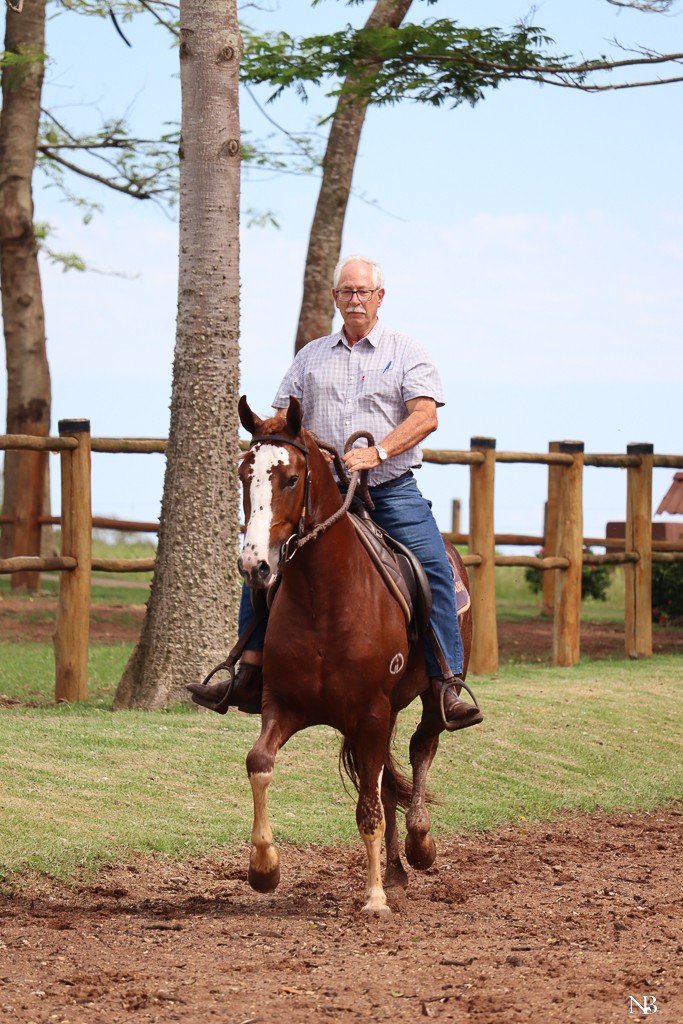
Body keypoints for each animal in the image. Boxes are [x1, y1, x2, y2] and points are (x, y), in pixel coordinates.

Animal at [235, 395, 473, 917]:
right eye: (244, 474)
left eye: (290, 477)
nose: (255, 564)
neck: (325, 598)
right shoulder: (283, 705)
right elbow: (259, 763)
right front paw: (264, 868)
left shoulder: (371, 711)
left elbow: (369, 809)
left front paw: (375, 897)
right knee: (387, 780)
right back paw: (399, 872)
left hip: (426, 697)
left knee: (422, 748)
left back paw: (420, 847)